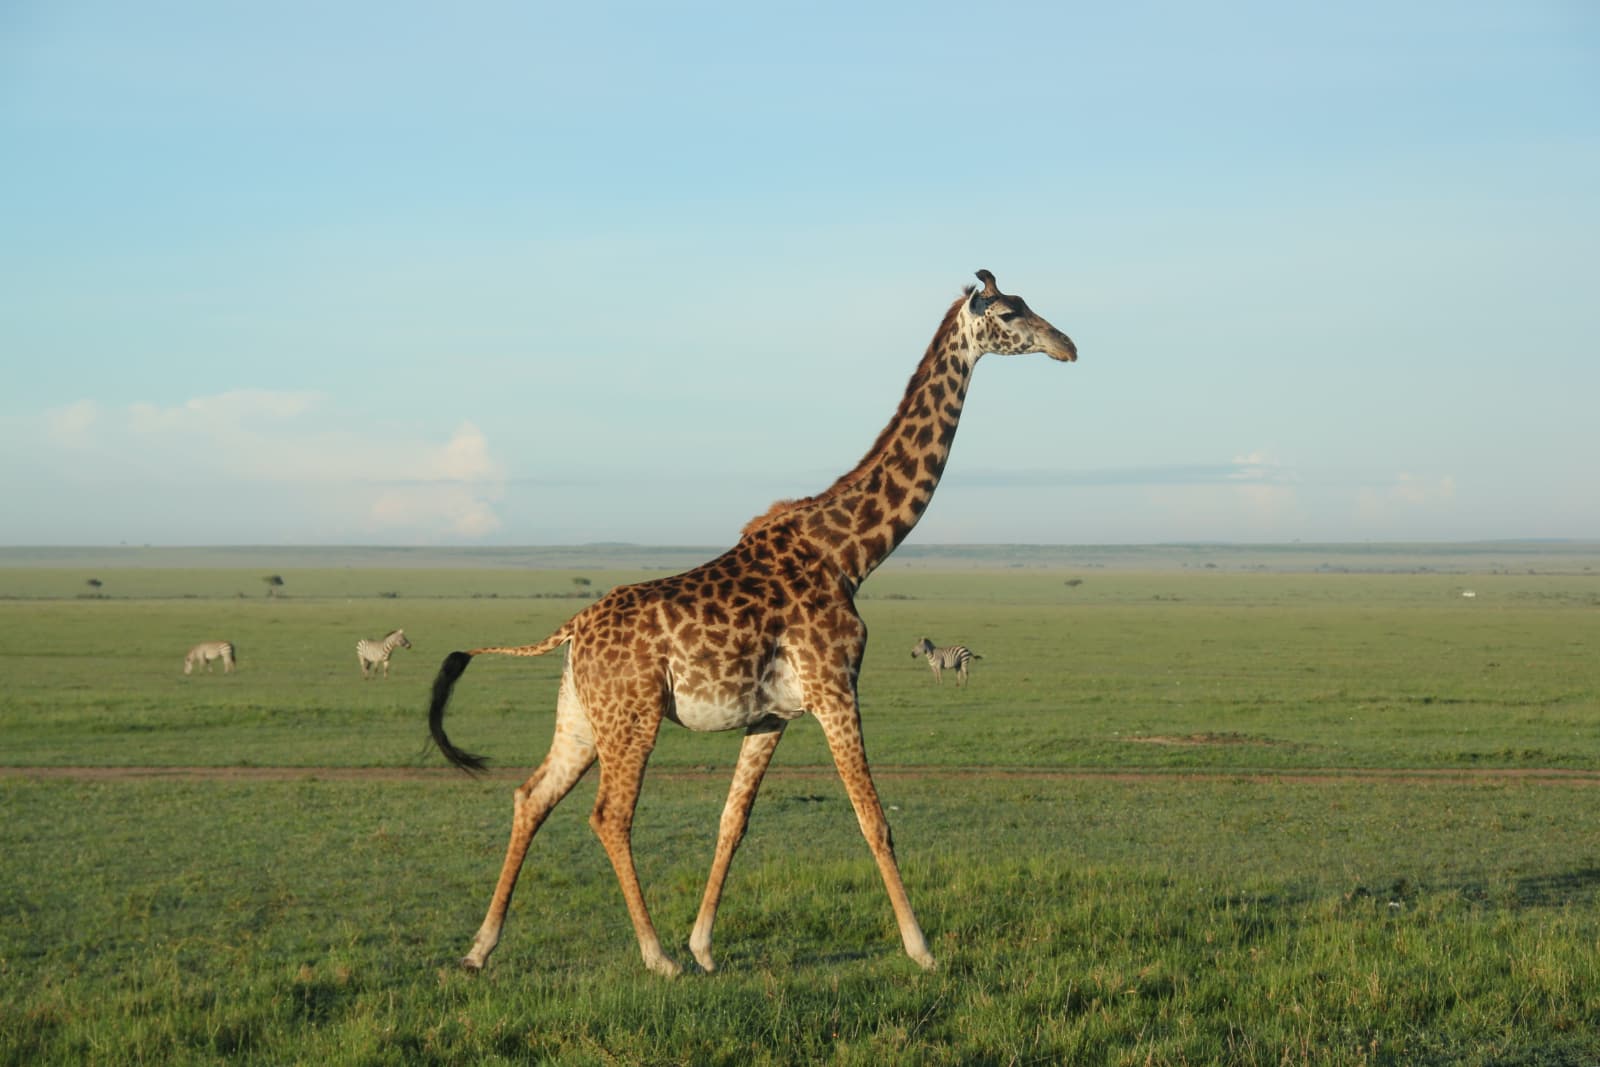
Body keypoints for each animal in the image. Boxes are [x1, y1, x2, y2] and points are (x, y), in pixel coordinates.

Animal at [428, 268, 1075, 979]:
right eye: (1010, 313)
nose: (1067, 345)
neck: (850, 555)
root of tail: (571, 629)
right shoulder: (835, 688)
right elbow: (873, 820)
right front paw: (922, 949)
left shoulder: (773, 715)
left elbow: (733, 821)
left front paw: (705, 945)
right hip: (633, 716)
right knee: (610, 815)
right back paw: (655, 956)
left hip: (582, 716)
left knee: (531, 797)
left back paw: (480, 948)